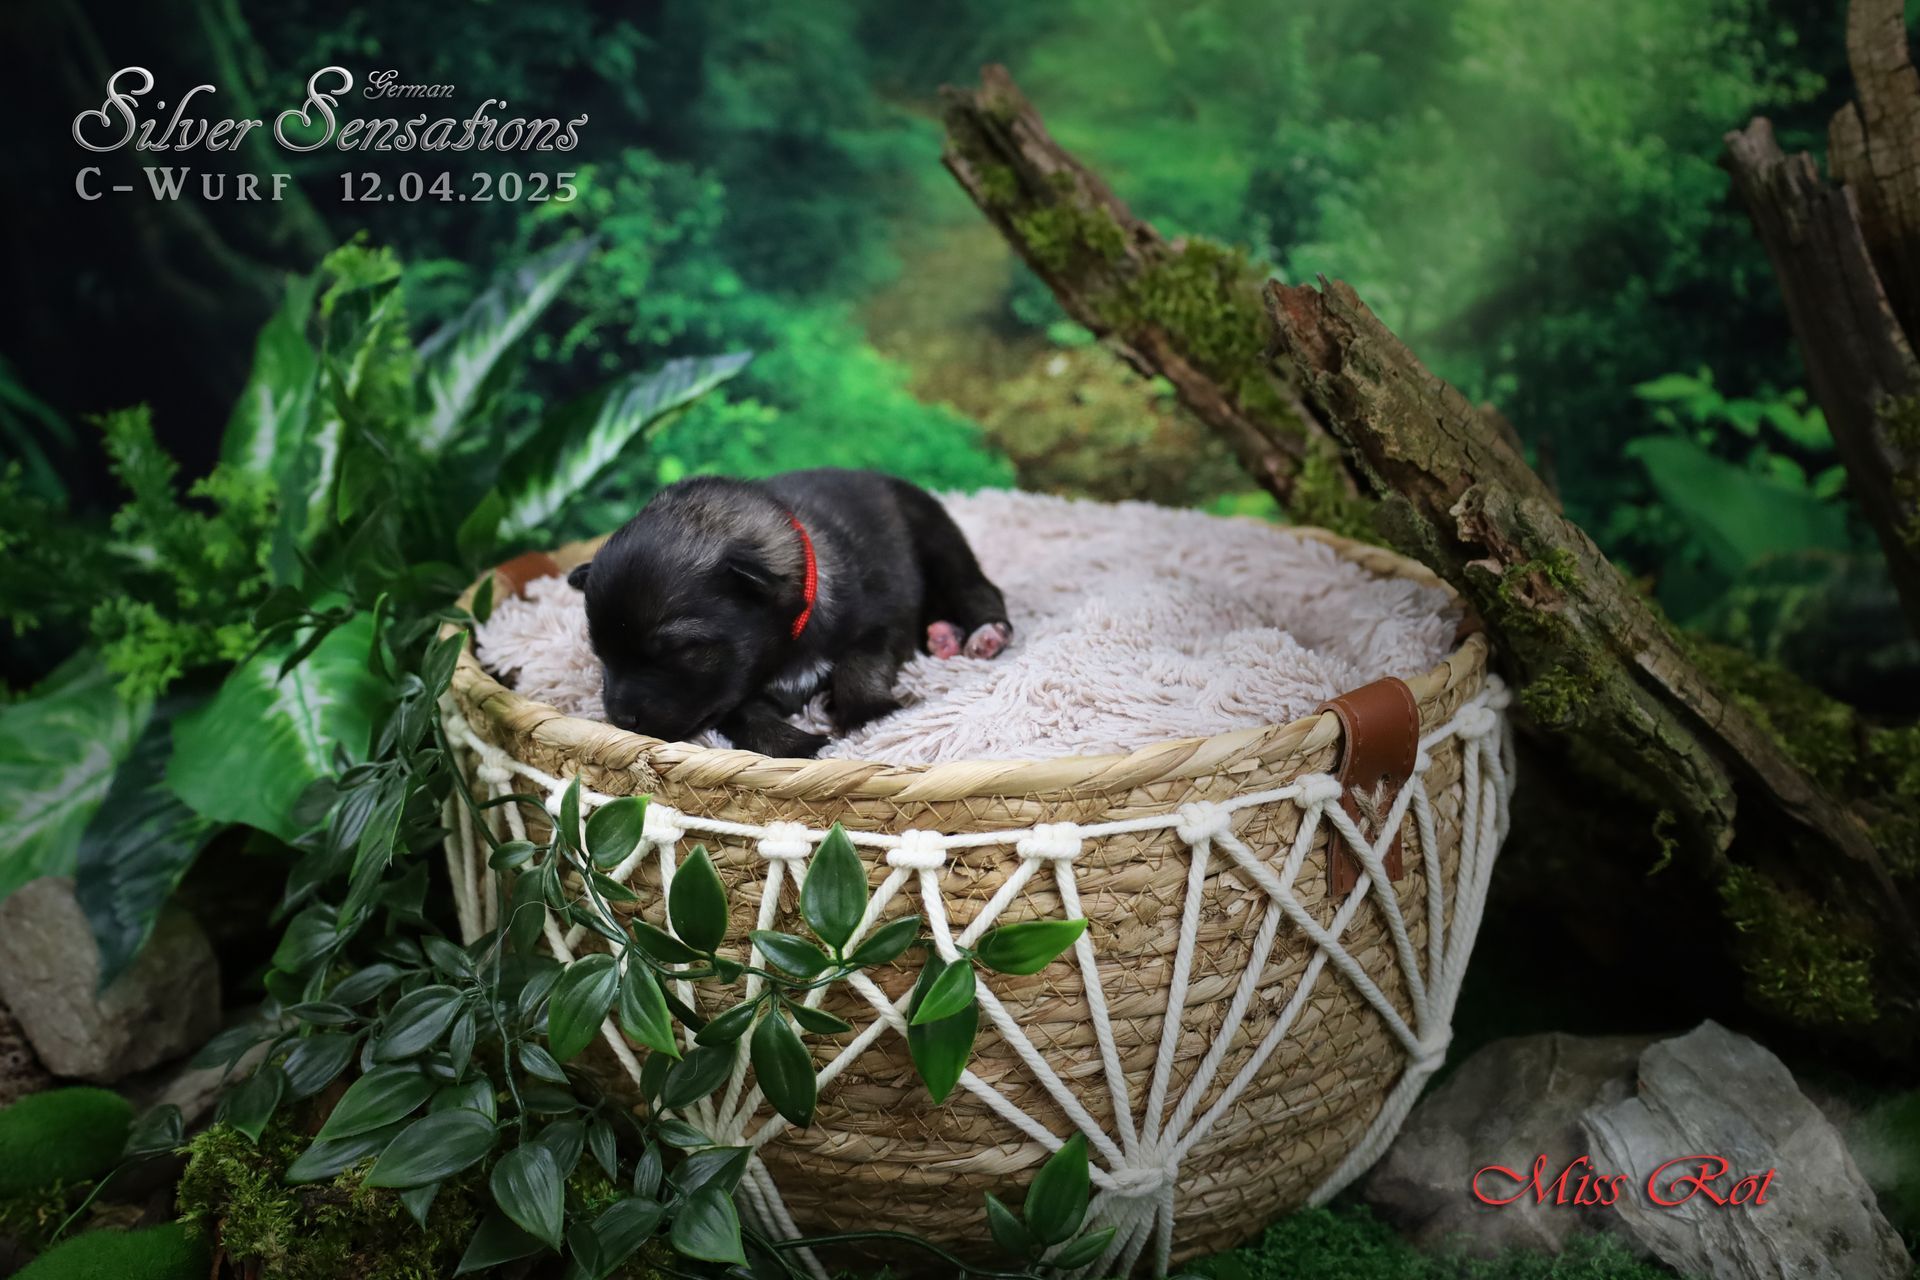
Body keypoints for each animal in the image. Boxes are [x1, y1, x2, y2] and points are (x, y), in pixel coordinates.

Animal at [567, 469, 1012, 758]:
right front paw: (802, 745)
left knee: (975, 587)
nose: (620, 719)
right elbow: (747, 718)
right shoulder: (737, 694)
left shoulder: (880, 623)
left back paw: (985, 634)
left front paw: (868, 713)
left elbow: (860, 664)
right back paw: (944, 637)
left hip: (938, 538)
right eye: (600, 654)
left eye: (678, 651)